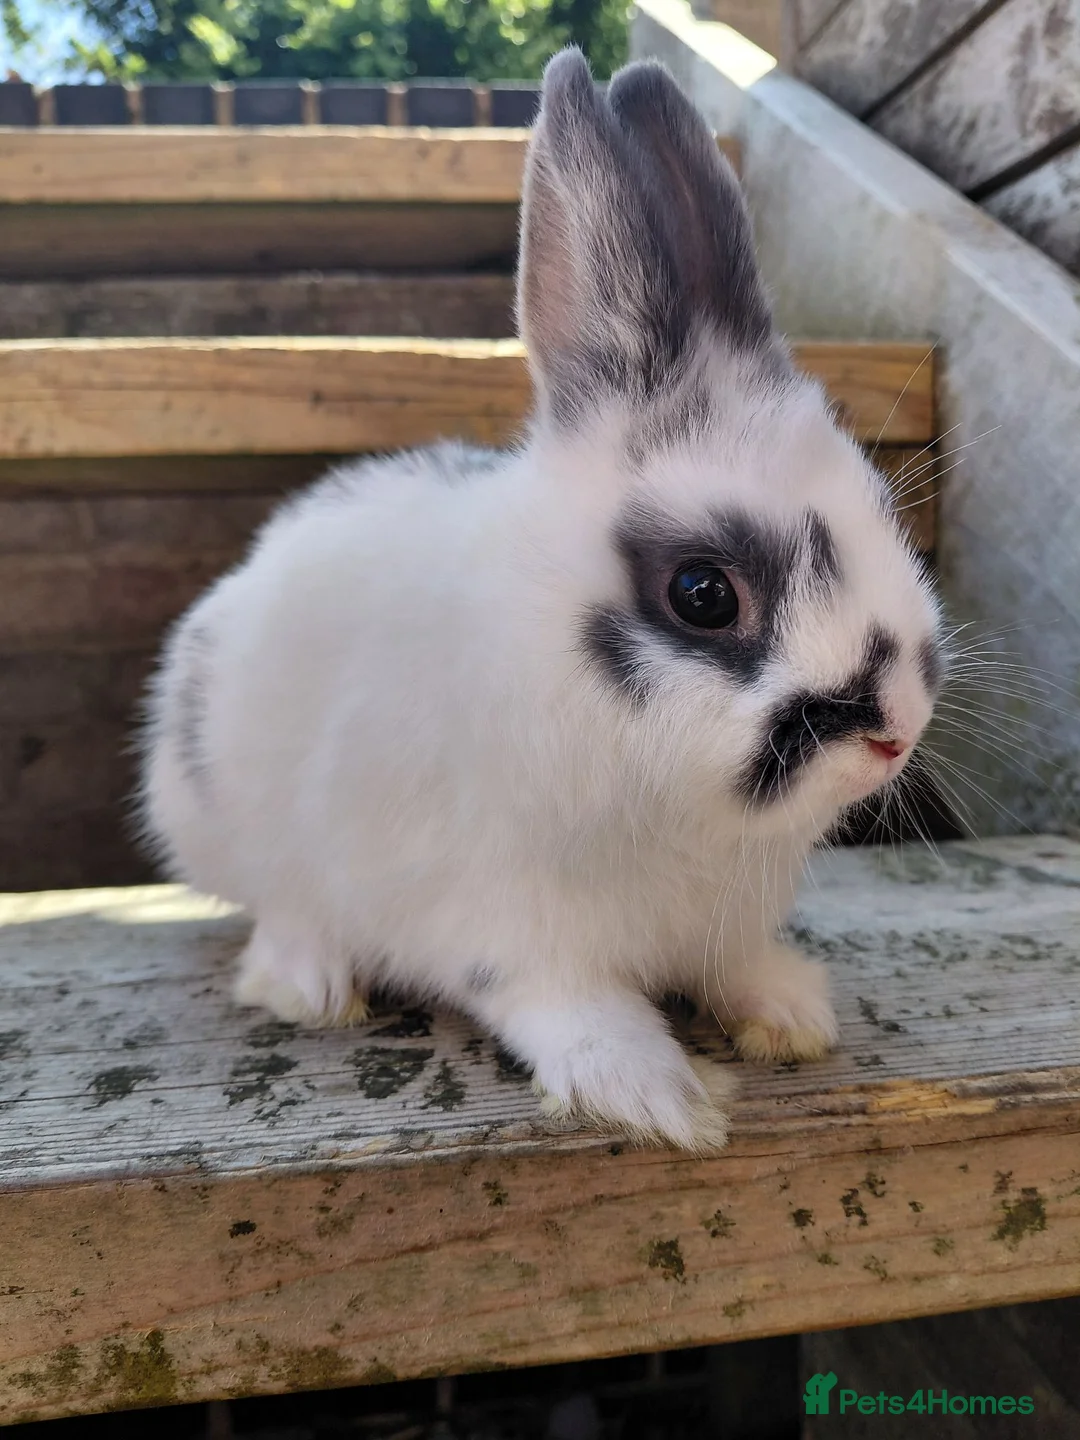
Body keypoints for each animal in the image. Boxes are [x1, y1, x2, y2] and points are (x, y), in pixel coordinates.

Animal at [140, 48, 943, 1153]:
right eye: (704, 594)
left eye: (882, 512)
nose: (898, 729)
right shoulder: (503, 922)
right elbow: (564, 1005)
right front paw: (656, 1096)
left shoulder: (721, 920)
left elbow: (734, 966)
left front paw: (788, 1015)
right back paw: (308, 983)